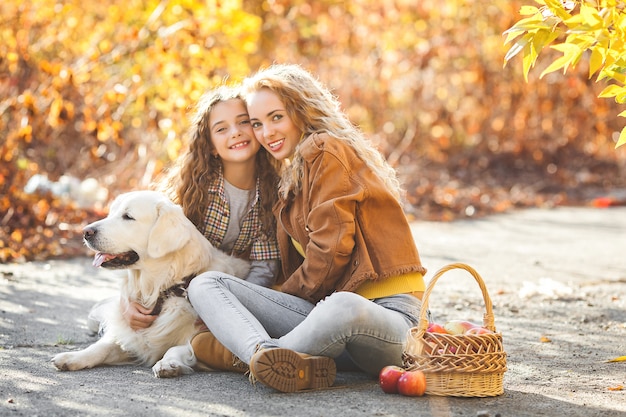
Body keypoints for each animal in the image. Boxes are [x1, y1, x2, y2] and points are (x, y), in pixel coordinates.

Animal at [51, 191, 247, 376]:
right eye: (111, 213)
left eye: (128, 216)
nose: (86, 232)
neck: (159, 290)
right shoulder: (131, 336)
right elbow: (102, 346)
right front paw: (72, 357)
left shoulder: (199, 335)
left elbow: (177, 348)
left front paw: (168, 363)